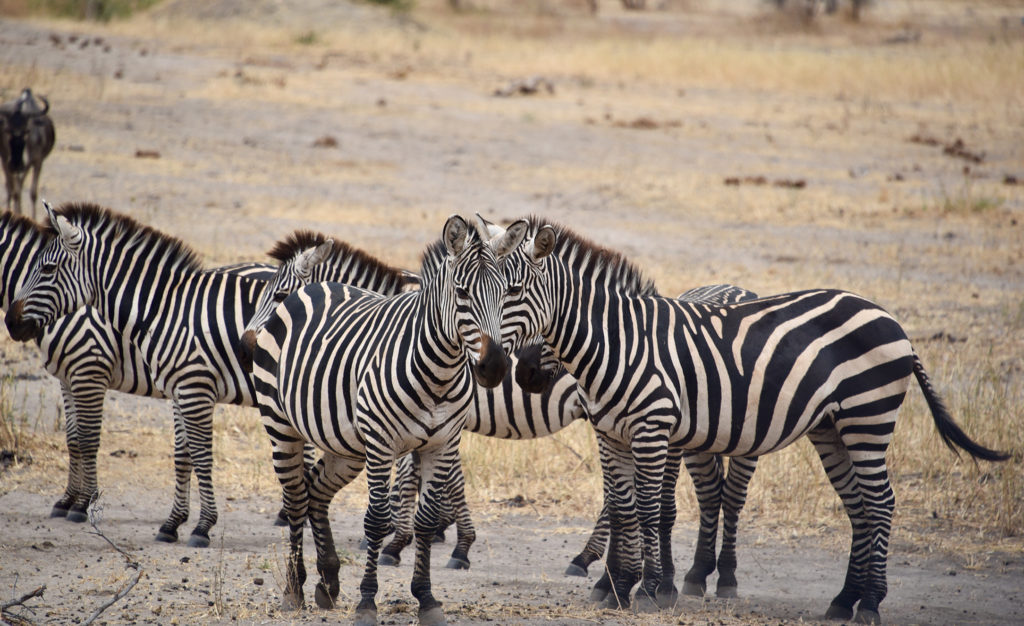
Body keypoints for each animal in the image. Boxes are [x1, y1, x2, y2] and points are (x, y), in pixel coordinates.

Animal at [1, 209, 280, 524]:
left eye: (48, 269)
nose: (11, 322)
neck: (161, 309)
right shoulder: (68, 378)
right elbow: (74, 439)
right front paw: (67, 500)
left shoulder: (90, 370)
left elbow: (88, 439)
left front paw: (83, 504)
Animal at [499, 217, 1003, 622]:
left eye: (520, 299)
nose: (524, 374)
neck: (622, 341)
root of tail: (895, 323)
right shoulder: (617, 432)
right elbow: (628, 507)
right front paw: (624, 586)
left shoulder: (655, 427)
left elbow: (652, 508)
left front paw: (649, 589)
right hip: (832, 428)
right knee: (859, 507)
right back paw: (843, 601)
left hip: (868, 416)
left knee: (880, 503)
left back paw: (871, 603)